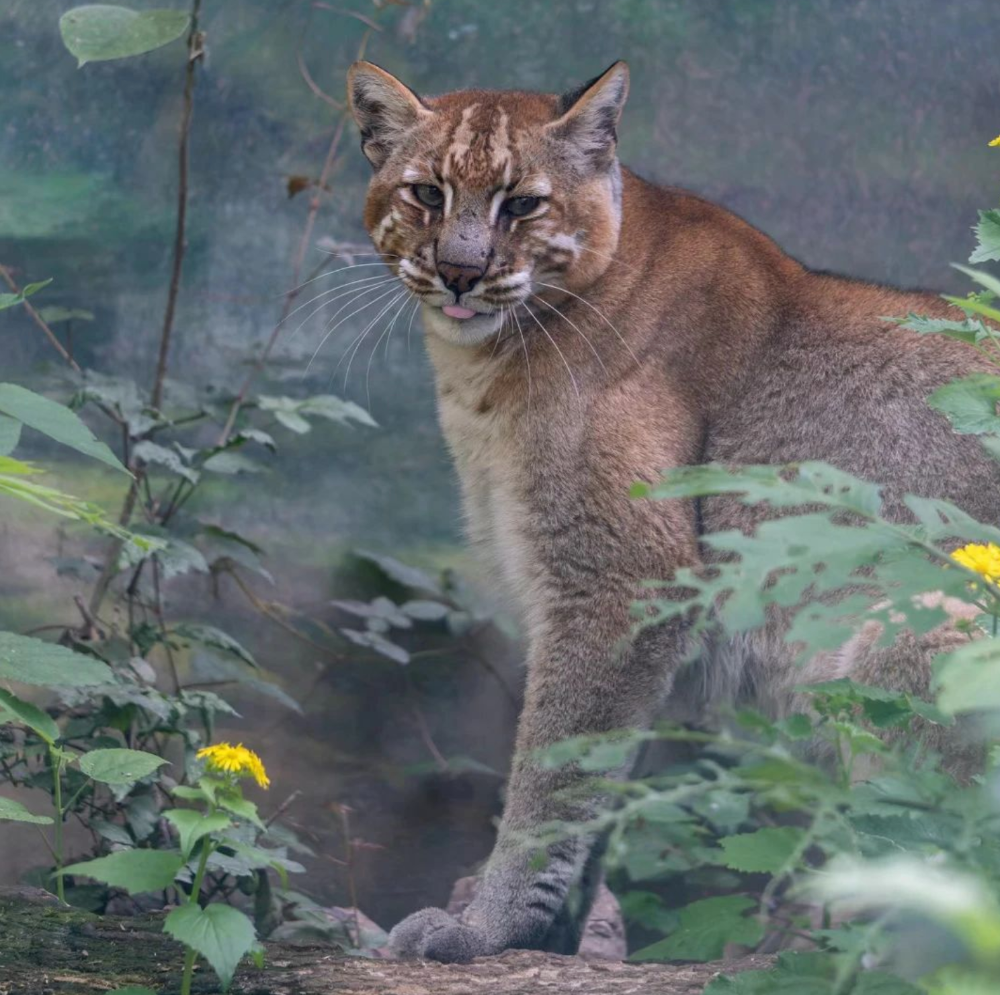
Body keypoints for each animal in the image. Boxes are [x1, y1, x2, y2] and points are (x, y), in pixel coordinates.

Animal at [346, 58, 1000, 960]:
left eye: (523, 204)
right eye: (426, 195)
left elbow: (554, 775)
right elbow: (601, 785)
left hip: (914, 626)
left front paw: (486, 928)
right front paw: (556, 937)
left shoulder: (621, 580)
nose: (460, 272)